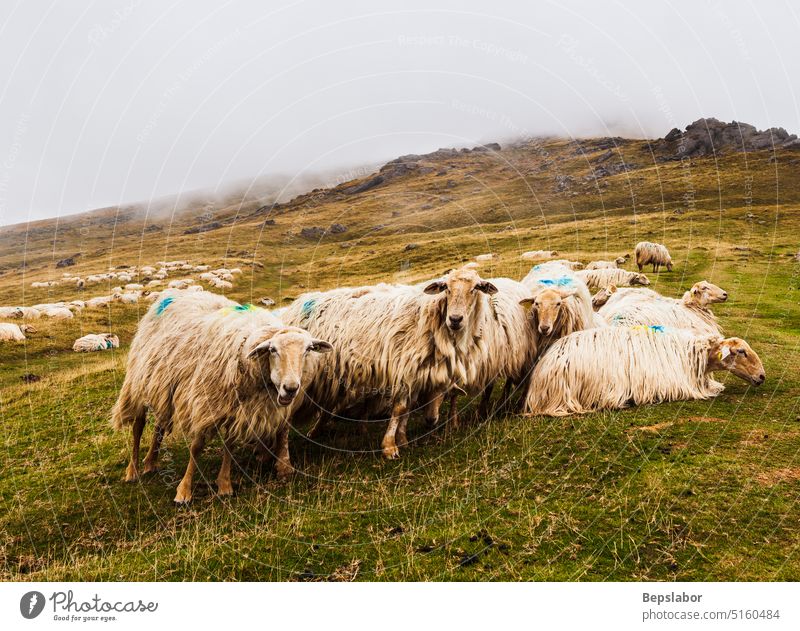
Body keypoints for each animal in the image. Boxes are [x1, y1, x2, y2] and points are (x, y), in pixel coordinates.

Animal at [112, 290, 332, 504]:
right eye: (272, 350)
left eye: (308, 350)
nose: (291, 388)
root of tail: (174, 293)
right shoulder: (205, 402)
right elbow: (196, 447)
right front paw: (184, 491)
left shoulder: (237, 409)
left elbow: (230, 445)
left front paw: (225, 485)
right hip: (139, 382)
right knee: (138, 426)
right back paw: (132, 470)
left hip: (163, 387)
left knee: (159, 424)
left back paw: (150, 462)